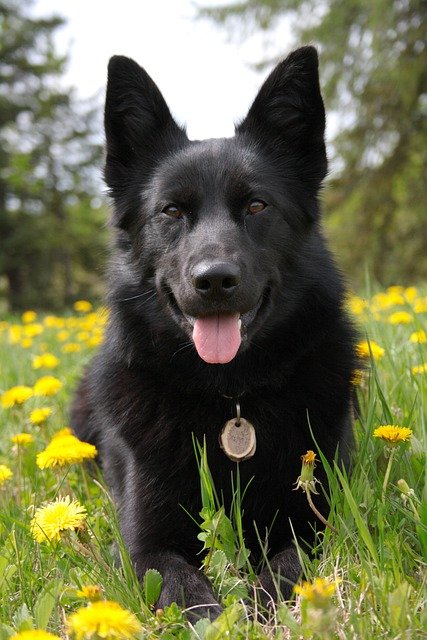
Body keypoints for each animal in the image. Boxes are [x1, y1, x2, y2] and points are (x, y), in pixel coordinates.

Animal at [71, 47, 358, 616]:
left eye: (257, 206)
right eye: (171, 211)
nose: (215, 280)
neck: (230, 396)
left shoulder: (317, 520)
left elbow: (290, 566)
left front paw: (257, 604)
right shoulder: (146, 542)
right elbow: (182, 586)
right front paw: (217, 612)